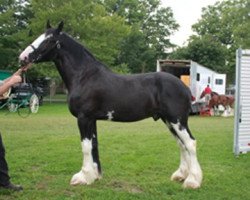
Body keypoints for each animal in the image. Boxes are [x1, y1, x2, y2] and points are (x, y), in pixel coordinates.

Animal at [20, 21, 203, 189]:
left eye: (49, 40)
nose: (23, 58)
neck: (84, 76)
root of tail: (184, 87)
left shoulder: (83, 118)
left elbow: (85, 146)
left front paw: (83, 177)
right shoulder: (91, 119)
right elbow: (93, 145)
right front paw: (94, 176)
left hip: (177, 120)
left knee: (190, 143)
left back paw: (192, 181)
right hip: (168, 120)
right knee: (181, 144)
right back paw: (180, 175)